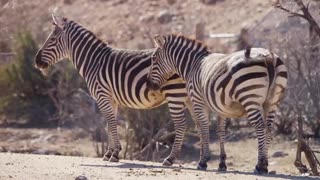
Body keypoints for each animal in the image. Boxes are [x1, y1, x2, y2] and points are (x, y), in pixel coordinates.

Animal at [33, 15, 212, 169]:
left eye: (52, 40)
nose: (36, 62)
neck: (93, 61)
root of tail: (198, 60)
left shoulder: (103, 95)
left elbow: (111, 123)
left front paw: (115, 154)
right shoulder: (111, 99)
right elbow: (109, 124)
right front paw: (109, 153)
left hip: (174, 94)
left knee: (181, 125)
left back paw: (170, 159)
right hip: (190, 97)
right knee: (201, 124)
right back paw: (202, 161)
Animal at [146, 34, 288, 174]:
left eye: (153, 59)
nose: (149, 84)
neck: (192, 65)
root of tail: (268, 56)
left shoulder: (198, 101)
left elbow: (204, 129)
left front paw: (203, 161)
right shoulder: (221, 108)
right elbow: (220, 132)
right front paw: (222, 163)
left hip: (250, 98)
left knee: (260, 127)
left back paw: (259, 165)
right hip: (272, 102)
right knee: (269, 129)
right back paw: (265, 165)